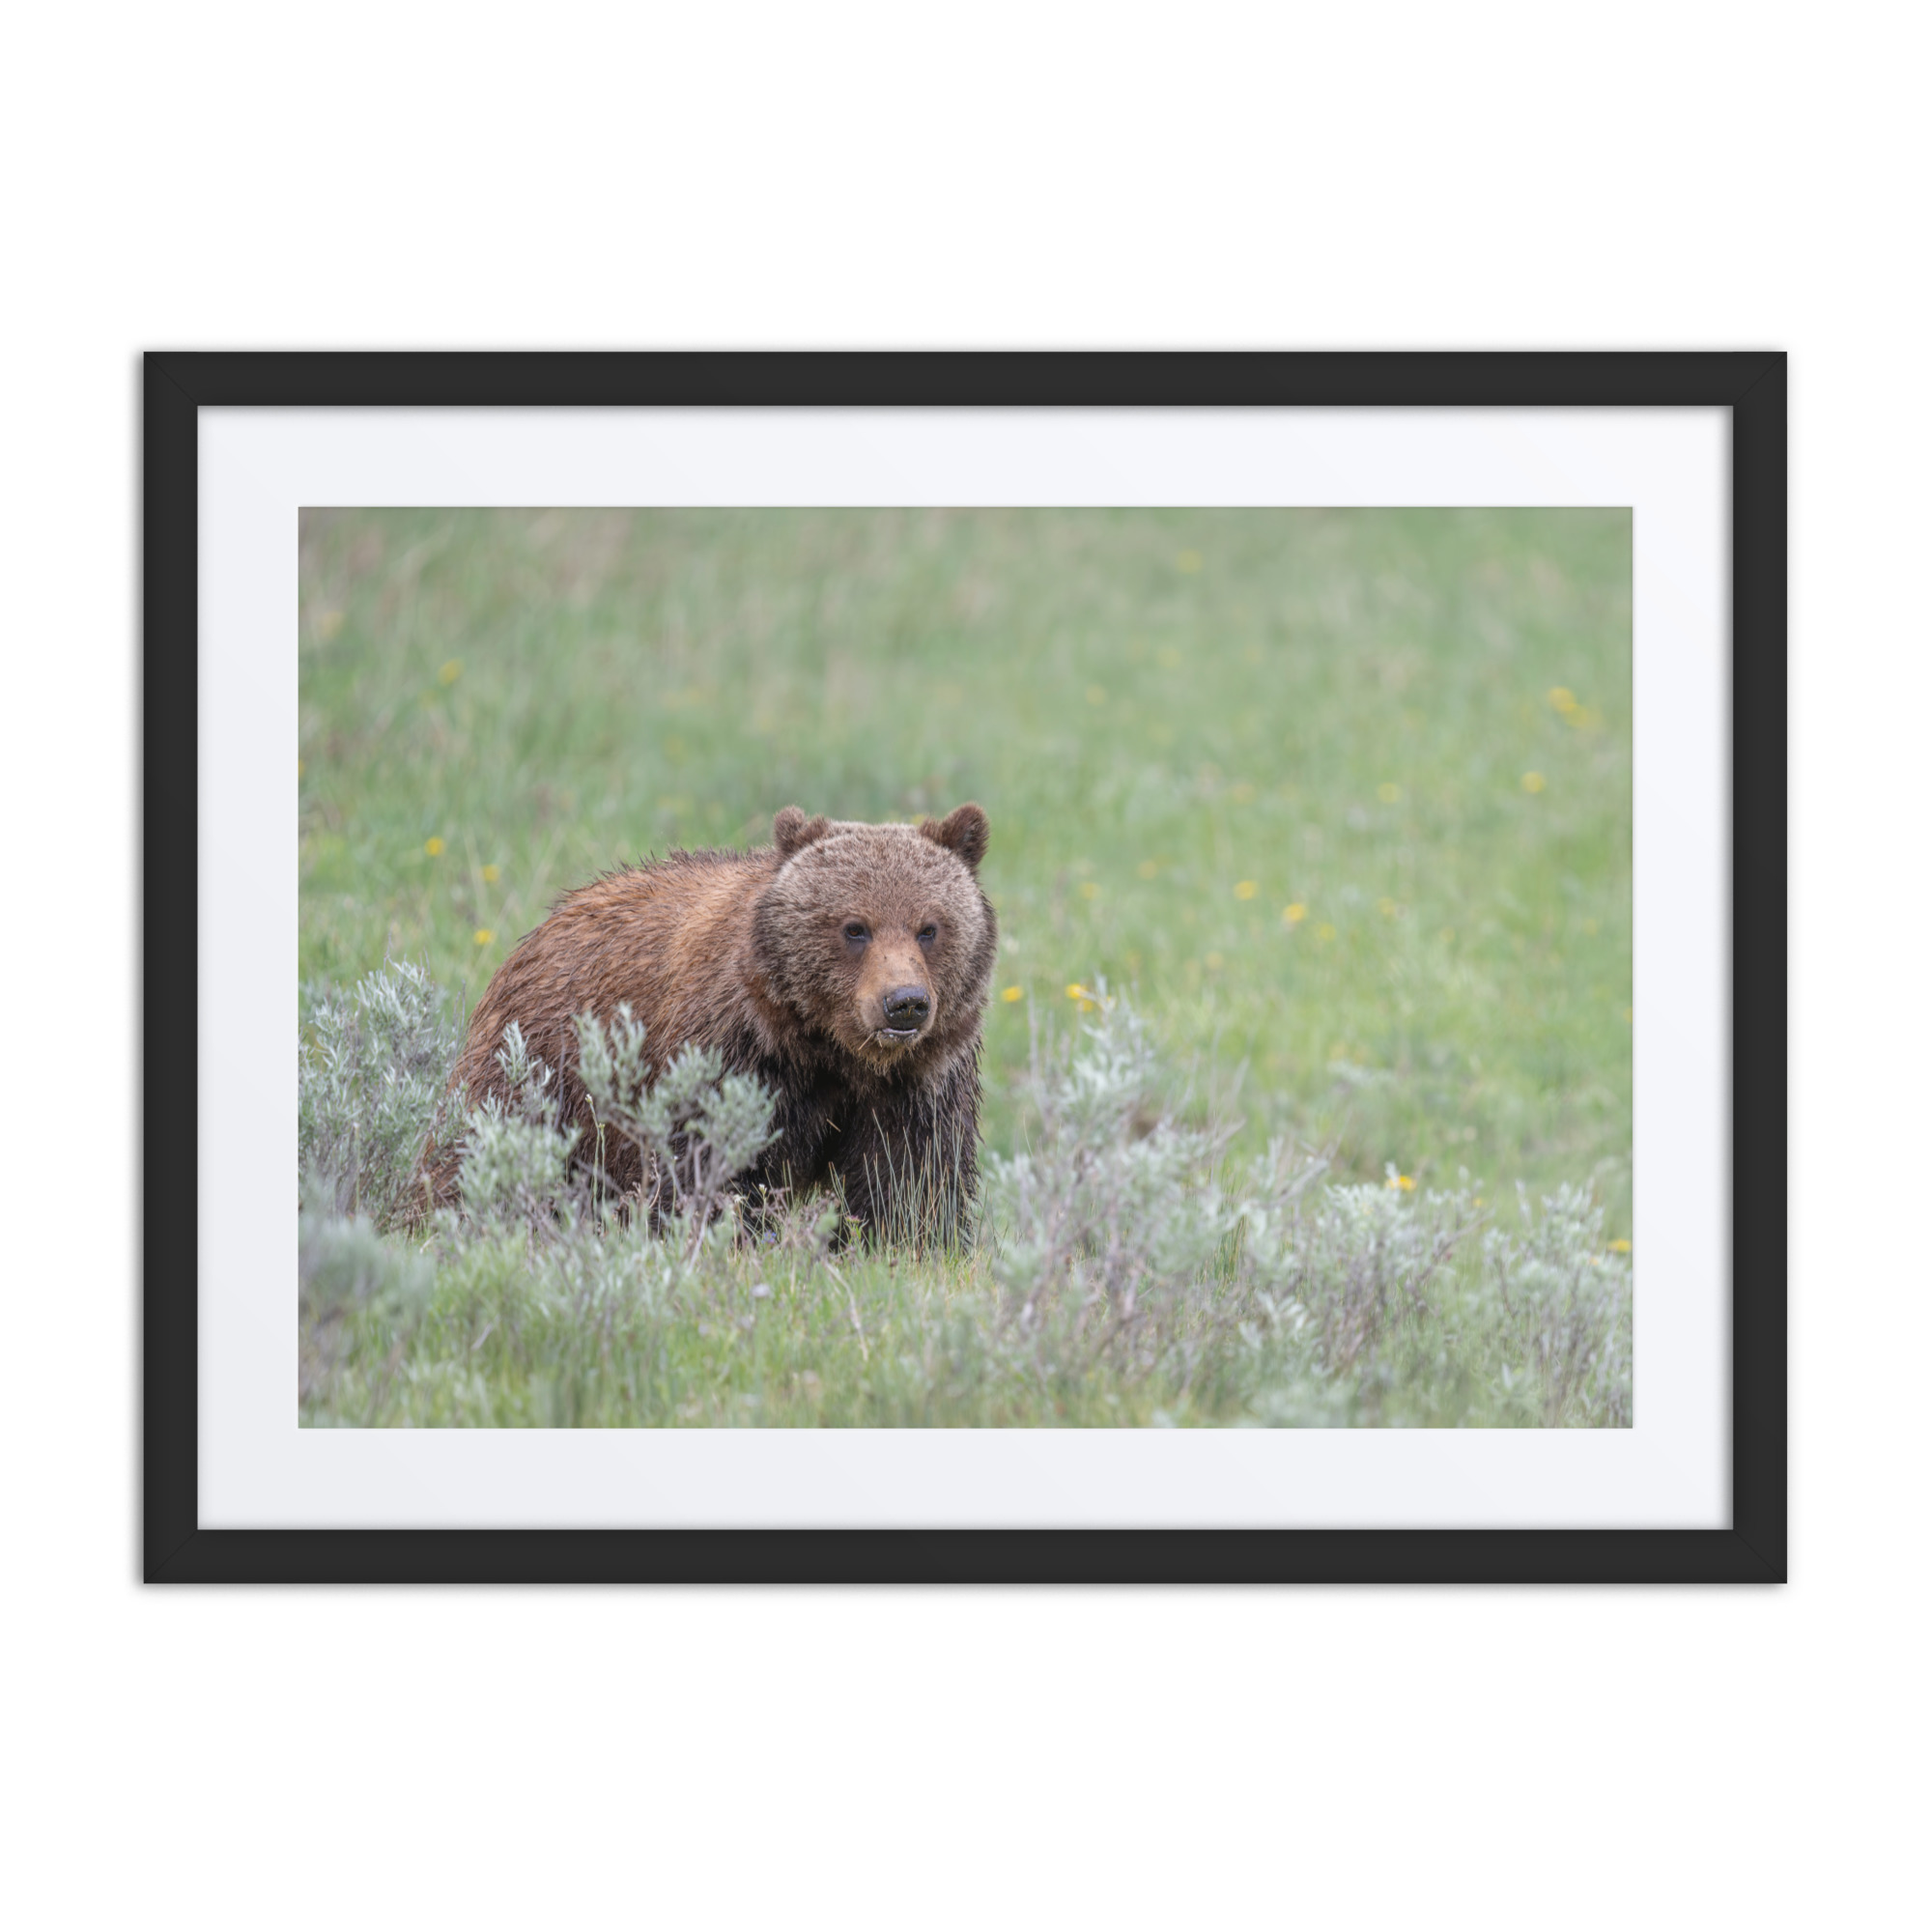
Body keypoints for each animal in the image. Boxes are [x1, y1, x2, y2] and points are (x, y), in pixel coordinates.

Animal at [416, 803, 997, 1240]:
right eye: (855, 927)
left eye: (929, 927)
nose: (905, 1002)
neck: (830, 1051)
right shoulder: (732, 1055)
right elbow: (704, 1166)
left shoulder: (918, 1083)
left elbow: (909, 1181)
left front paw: (903, 1243)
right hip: (540, 1065)